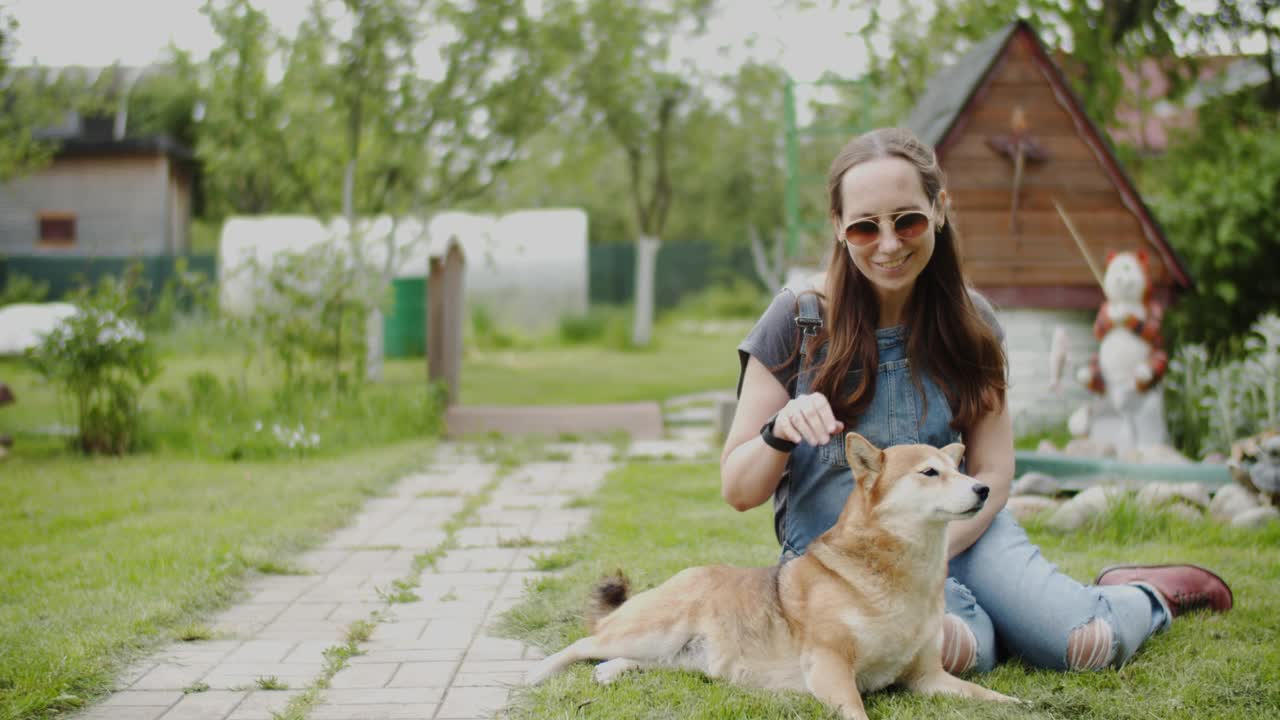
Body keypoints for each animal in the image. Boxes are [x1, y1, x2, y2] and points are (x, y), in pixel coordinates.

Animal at [524, 427, 1013, 712]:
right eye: (930, 473)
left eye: (959, 468)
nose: (983, 488)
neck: (902, 577)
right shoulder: (830, 667)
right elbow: (855, 709)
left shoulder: (929, 677)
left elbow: (990, 698)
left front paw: (1014, 701)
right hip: (652, 631)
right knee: (584, 643)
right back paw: (538, 672)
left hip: (681, 656)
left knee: (634, 660)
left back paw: (611, 671)